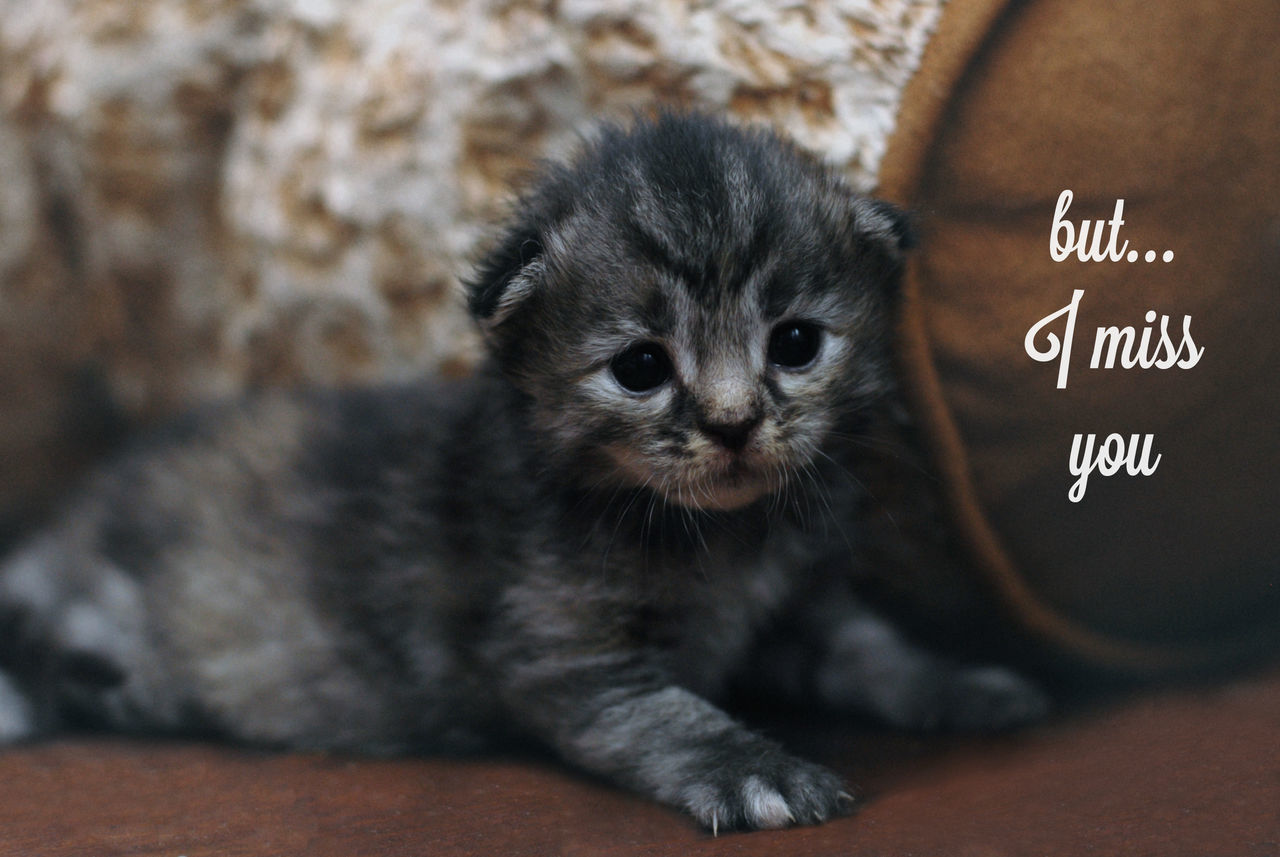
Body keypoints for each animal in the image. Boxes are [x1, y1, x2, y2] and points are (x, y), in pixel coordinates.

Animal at [0, 112, 1049, 833]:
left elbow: (880, 652)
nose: (734, 424)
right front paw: (756, 769)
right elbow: (672, 717)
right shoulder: (566, 656)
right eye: (640, 366)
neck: (719, 536)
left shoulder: (801, 609)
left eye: (795, 343)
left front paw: (964, 687)